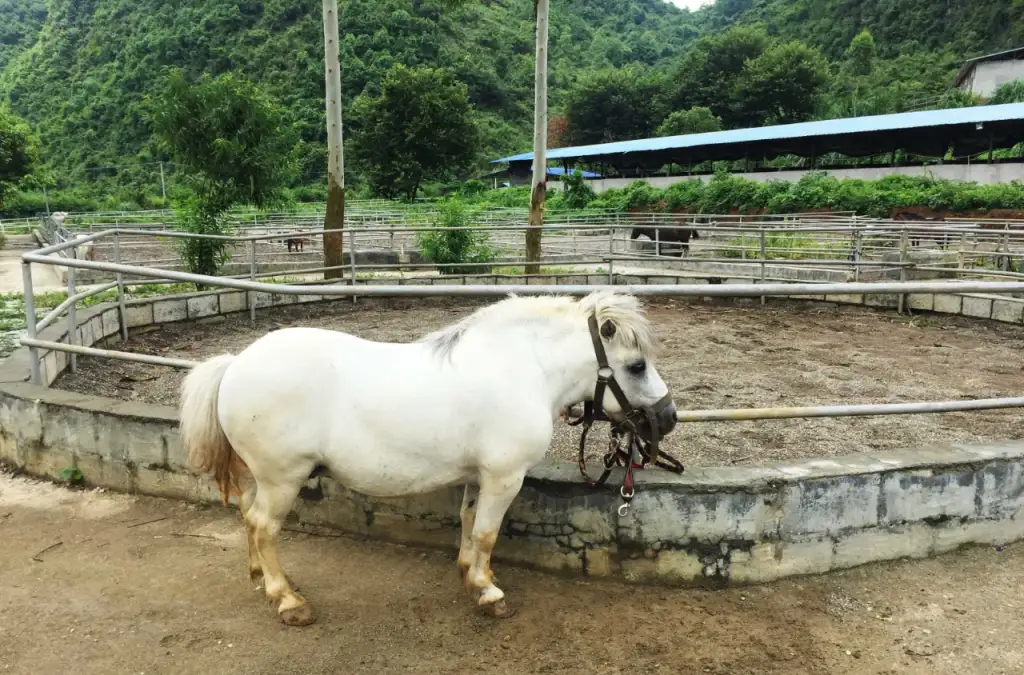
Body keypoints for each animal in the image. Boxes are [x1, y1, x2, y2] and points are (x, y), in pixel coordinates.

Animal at [180, 290, 678, 626]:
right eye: (636, 366)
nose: (669, 418)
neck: (521, 368)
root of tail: (236, 362)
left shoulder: (479, 476)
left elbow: (469, 524)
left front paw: (472, 576)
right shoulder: (504, 477)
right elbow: (487, 533)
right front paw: (488, 593)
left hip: (261, 477)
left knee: (248, 517)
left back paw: (259, 577)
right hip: (283, 479)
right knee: (264, 527)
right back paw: (287, 600)